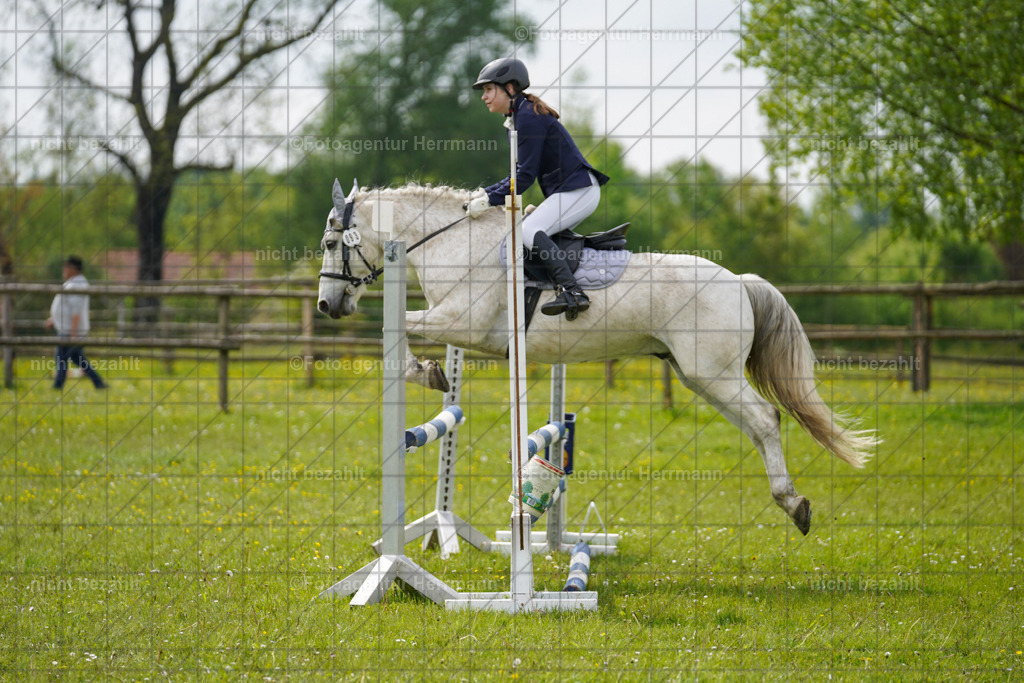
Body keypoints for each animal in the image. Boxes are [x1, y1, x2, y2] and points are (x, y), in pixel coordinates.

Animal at [316, 179, 877, 535]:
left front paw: (423, 371)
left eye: (327, 242)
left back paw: (794, 504)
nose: (327, 305)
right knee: (762, 425)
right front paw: (435, 373)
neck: (454, 244)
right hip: (699, 376)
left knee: (765, 421)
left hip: (713, 373)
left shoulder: (462, 322)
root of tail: (739, 281)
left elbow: (396, 328)